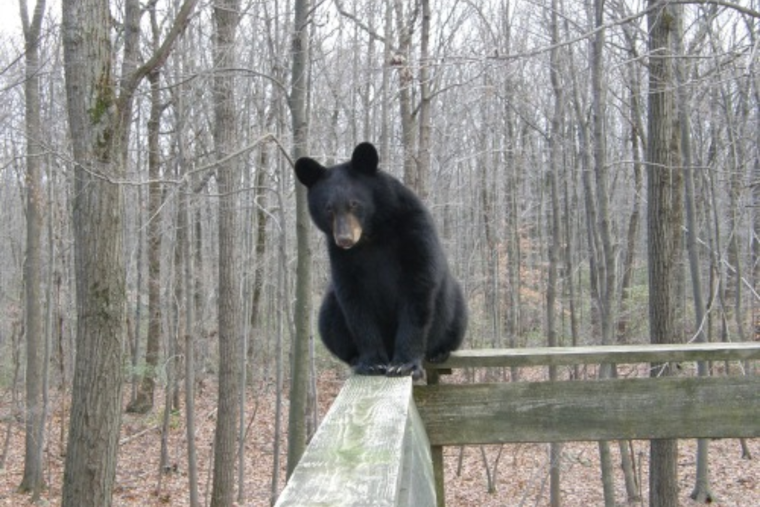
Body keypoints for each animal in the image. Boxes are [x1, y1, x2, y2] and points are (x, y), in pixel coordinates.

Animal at [294, 142, 467, 380]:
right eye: (328, 208)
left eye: (354, 204)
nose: (345, 239)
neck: (372, 234)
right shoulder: (341, 258)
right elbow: (355, 302)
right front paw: (372, 363)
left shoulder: (414, 231)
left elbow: (418, 290)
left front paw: (404, 364)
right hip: (330, 308)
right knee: (328, 321)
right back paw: (354, 357)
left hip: (454, 306)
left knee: (455, 320)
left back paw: (439, 352)